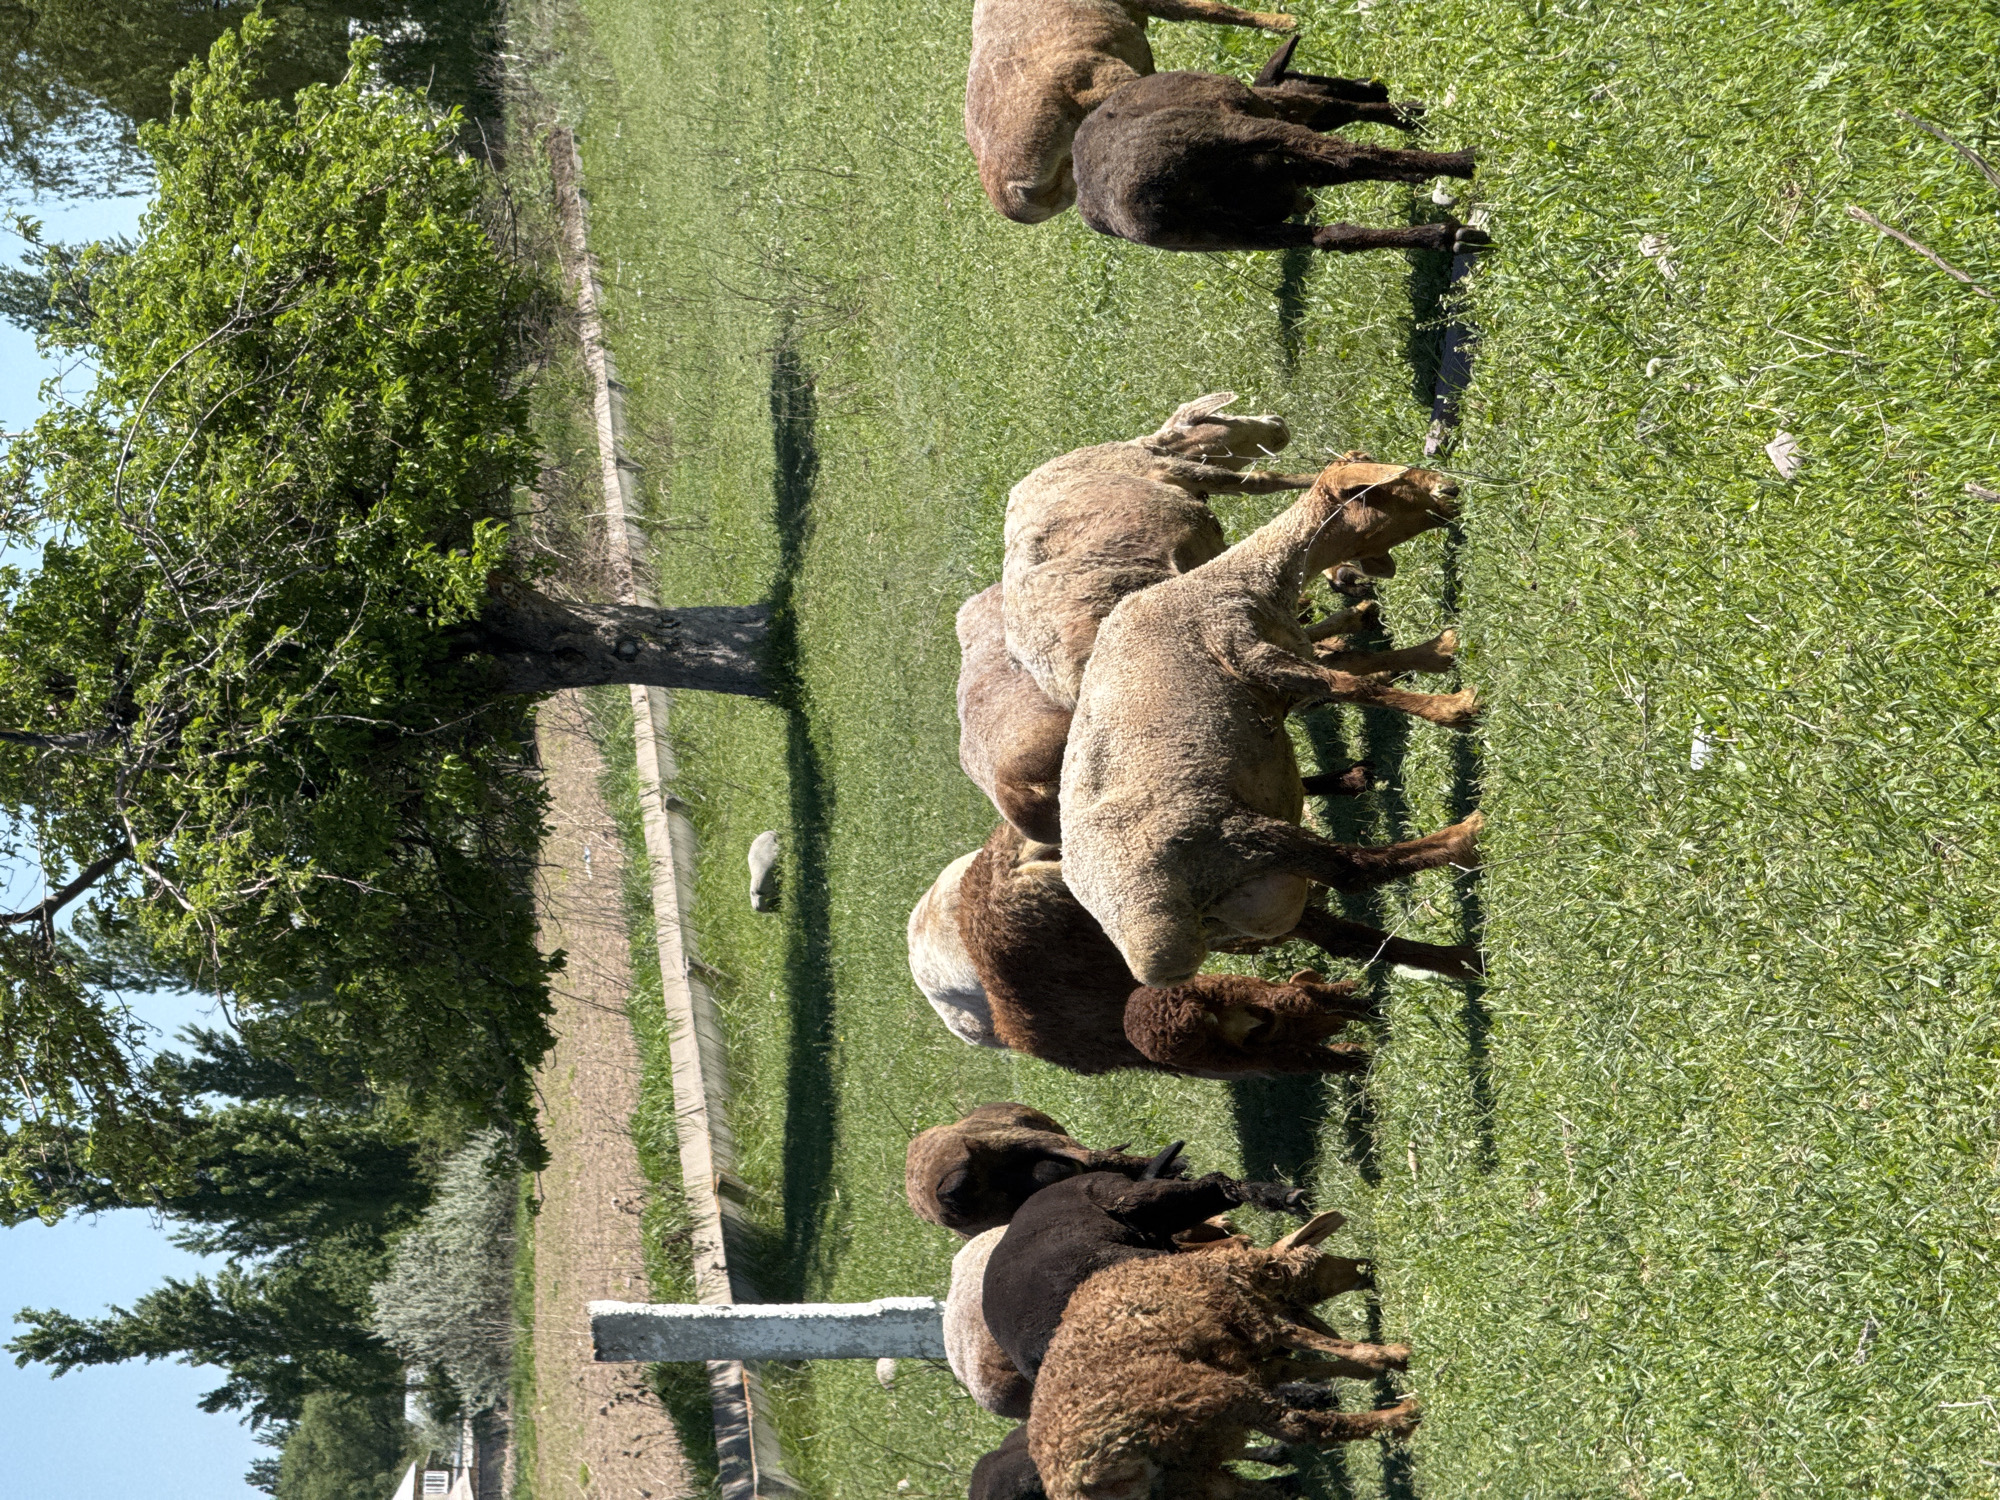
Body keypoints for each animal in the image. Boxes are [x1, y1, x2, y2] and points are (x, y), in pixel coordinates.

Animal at [1028, 1225, 1419, 1500]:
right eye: (1321, 1260)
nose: (1366, 1269)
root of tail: (1077, 1484)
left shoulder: (1247, 1354)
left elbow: (1297, 1366)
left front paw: (1367, 1369)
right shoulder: (1251, 1320)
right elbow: (1307, 1340)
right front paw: (1389, 1356)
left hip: (1187, 1477)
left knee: (1248, 1491)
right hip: (1199, 1395)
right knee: (1300, 1427)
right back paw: (1400, 1417)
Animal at [1060, 454, 1484, 988]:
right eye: (1386, 486)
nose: (1450, 488)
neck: (1244, 578)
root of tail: (1151, 954)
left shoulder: (1283, 668)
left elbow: (1356, 668)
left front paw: (1439, 652)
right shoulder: (1244, 649)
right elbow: (1353, 686)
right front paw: (1455, 707)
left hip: (1256, 908)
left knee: (1347, 936)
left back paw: (1464, 961)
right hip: (1228, 836)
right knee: (1354, 869)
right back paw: (1468, 835)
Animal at [1070, 41, 1491, 256]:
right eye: (1305, 72)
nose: (1374, 85)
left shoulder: (1281, 179)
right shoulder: (1277, 117)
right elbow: (1349, 132)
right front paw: (1418, 123)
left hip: (1223, 234)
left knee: (1325, 234)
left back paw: (1445, 233)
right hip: (1242, 135)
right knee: (1343, 149)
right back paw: (1460, 164)